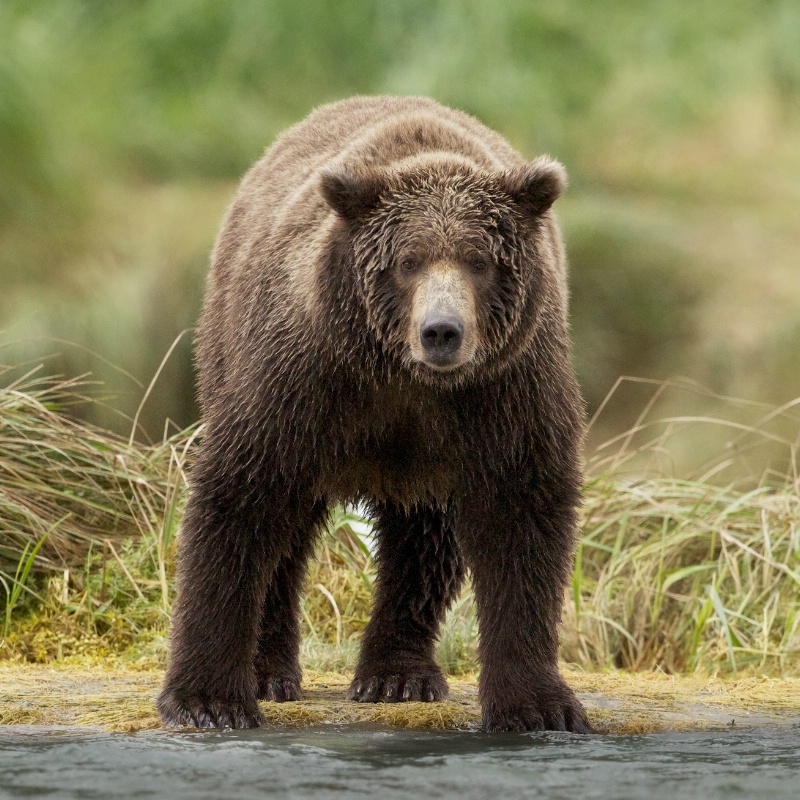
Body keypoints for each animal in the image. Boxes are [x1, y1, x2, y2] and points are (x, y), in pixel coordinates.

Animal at [156, 92, 592, 732]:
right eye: (409, 261)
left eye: (479, 259)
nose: (442, 331)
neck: (404, 379)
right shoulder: (304, 376)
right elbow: (241, 499)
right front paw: (207, 700)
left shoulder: (504, 393)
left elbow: (522, 517)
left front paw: (539, 705)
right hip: (228, 344)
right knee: (287, 534)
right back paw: (270, 671)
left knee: (424, 541)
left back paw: (397, 674)